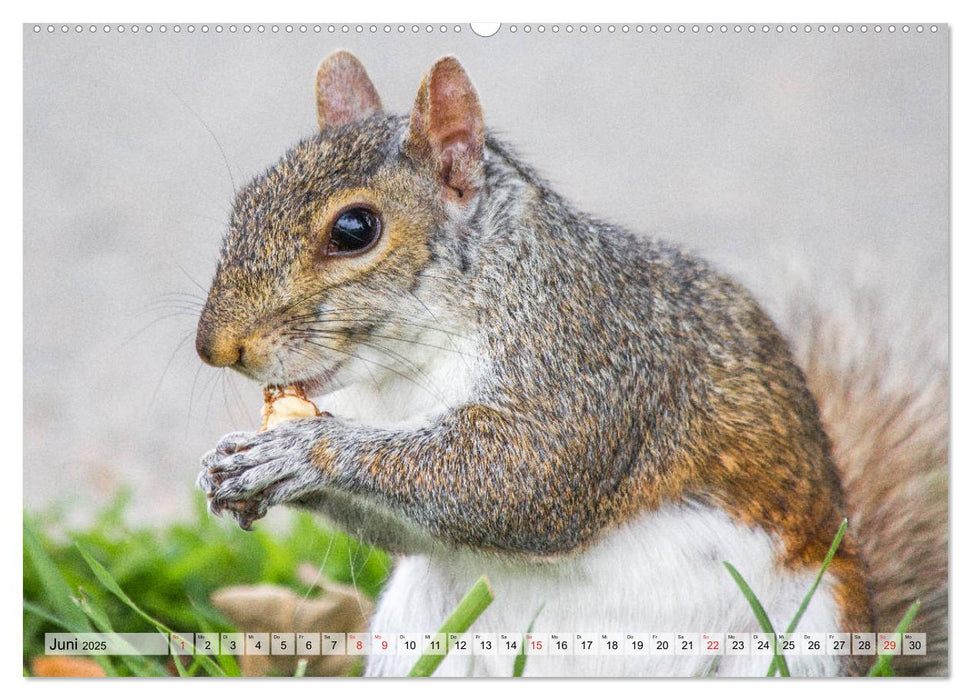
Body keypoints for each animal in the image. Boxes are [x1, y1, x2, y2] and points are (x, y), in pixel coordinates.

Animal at [196, 52, 948, 676]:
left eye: (355, 229)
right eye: (243, 201)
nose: (217, 348)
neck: (409, 367)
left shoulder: (593, 361)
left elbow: (520, 475)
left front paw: (301, 451)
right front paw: (226, 465)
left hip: (806, 639)